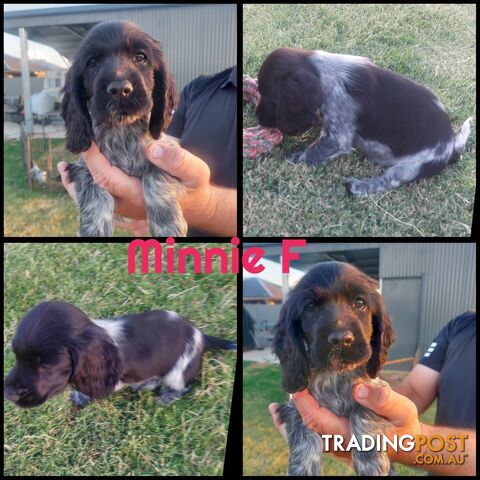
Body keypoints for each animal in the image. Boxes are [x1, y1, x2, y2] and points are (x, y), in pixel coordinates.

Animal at [3, 300, 236, 408]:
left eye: (47, 365)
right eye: (16, 357)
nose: (8, 395)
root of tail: (200, 335)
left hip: (177, 371)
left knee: (183, 386)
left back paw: (166, 395)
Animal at [60, 21, 188, 237]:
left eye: (140, 57)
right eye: (91, 63)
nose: (120, 89)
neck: (122, 131)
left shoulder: (165, 151)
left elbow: (156, 174)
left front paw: (167, 222)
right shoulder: (81, 168)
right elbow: (93, 191)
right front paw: (94, 230)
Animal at [256, 47, 470, 196]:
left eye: (268, 96)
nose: (256, 116)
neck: (324, 72)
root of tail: (452, 149)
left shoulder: (337, 138)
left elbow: (312, 152)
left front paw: (292, 158)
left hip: (412, 167)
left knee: (388, 182)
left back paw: (360, 187)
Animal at [274, 262, 398, 476]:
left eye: (360, 302)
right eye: (310, 308)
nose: (341, 339)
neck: (335, 375)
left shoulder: (375, 391)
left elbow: (363, 412)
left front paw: (371, 463)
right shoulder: (292, 406)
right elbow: (302, 433)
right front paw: (303, 469)